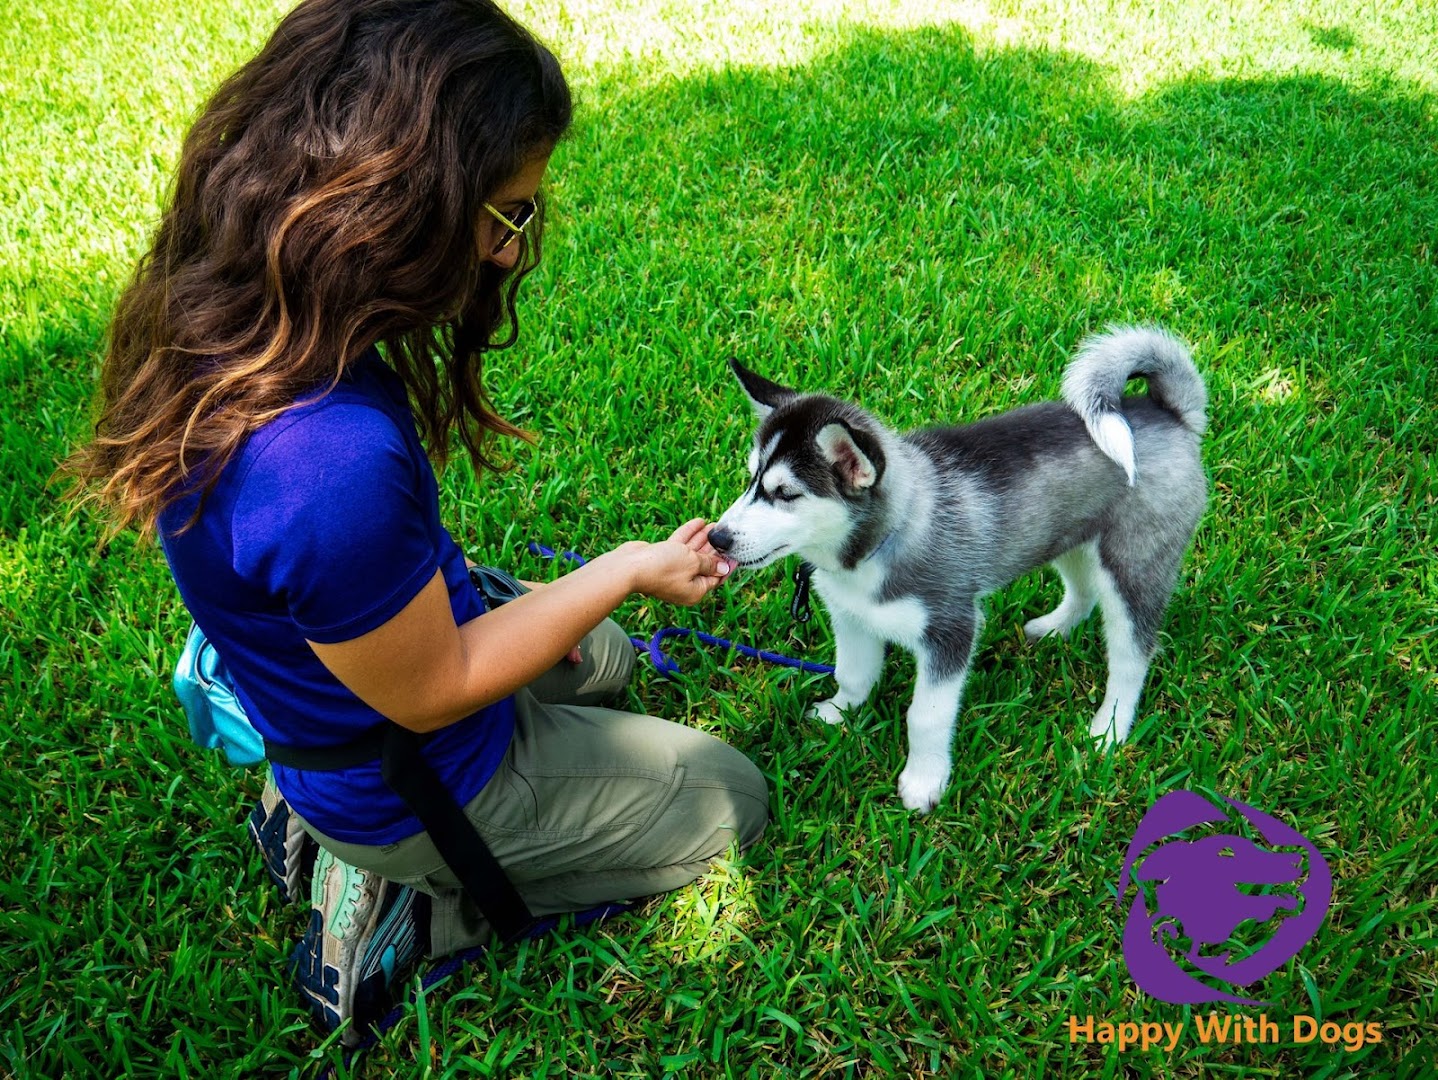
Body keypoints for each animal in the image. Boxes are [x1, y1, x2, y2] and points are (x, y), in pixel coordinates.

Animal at [707, 327, 1202, 811]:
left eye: (786, 494)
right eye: (751, 480)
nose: (716, 538)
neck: (878, 545)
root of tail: (1168, 413)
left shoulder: (950, 629)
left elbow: (924, 716)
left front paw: (924, 783)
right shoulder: (851, 617)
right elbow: (852, 673)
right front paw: (837, 712)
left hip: (1134, 565)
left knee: (1131, 656)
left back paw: (1110, 728)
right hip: (1069, 536)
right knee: (1082, 590)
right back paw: (1054, 628)